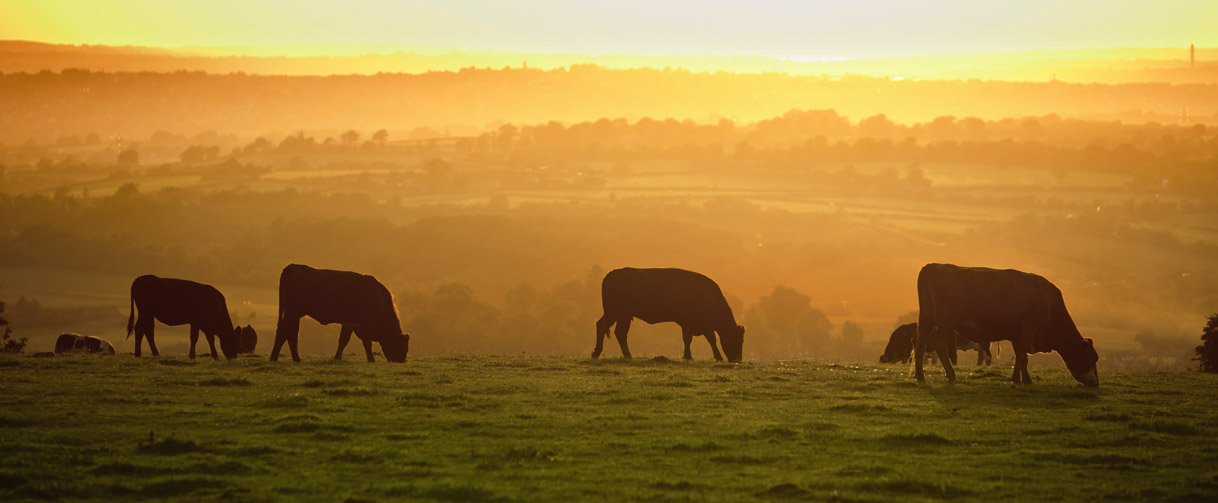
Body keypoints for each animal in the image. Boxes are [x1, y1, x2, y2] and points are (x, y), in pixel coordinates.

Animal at [271, 263, 409, 360]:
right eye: (402, 347)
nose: (400, 361)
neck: (379, 298)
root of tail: (293, 266)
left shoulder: (349, 323)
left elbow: (343, 341)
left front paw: (337, 358)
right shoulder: (365, 325)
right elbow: (366, 342)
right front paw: (371, 360)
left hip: (294, 315)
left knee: (292, 334)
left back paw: (296, 359)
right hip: (292, 313)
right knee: (283, 332)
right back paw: (274, 358)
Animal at [589, 266, 740, 360]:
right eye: (736, 339)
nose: (737, 359)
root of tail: (611, 274)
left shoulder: (687, 324)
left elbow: (687, 339)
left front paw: (688, 356)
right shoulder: (702, 324)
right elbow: (711, 338)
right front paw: (718, 357)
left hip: (617, 314)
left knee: (607, 328)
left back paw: (601, 353)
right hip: (619, 314)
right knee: (615, 331)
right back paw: (623, 355)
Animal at [915, 264, 1105, 387]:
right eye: (1092, 357)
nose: (1095, 383)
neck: (1050, 303)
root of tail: (933, 266)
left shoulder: (1017, 334)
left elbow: (1019, 356)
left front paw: (1015, 379)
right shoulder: (1029, 328)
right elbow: (1023, 357)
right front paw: (1027, 380)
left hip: (926, 318)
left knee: (920, 343)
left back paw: (920, 375)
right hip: (947, 322)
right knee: (938, 343)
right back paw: (951, 375)